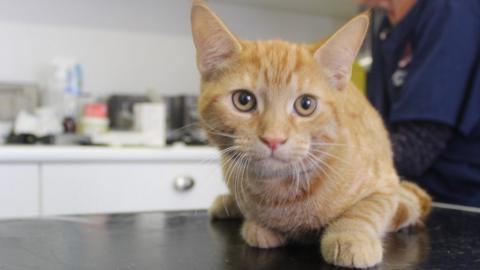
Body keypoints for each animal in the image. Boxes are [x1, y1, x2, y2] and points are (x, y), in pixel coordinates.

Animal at [190, 1, 432, 268]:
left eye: (306, 105)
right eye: (244, 100)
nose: (273, 139)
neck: (281, 192)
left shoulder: (386, 185)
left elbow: (366, 210)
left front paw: (351, 236)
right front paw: (258, 225)